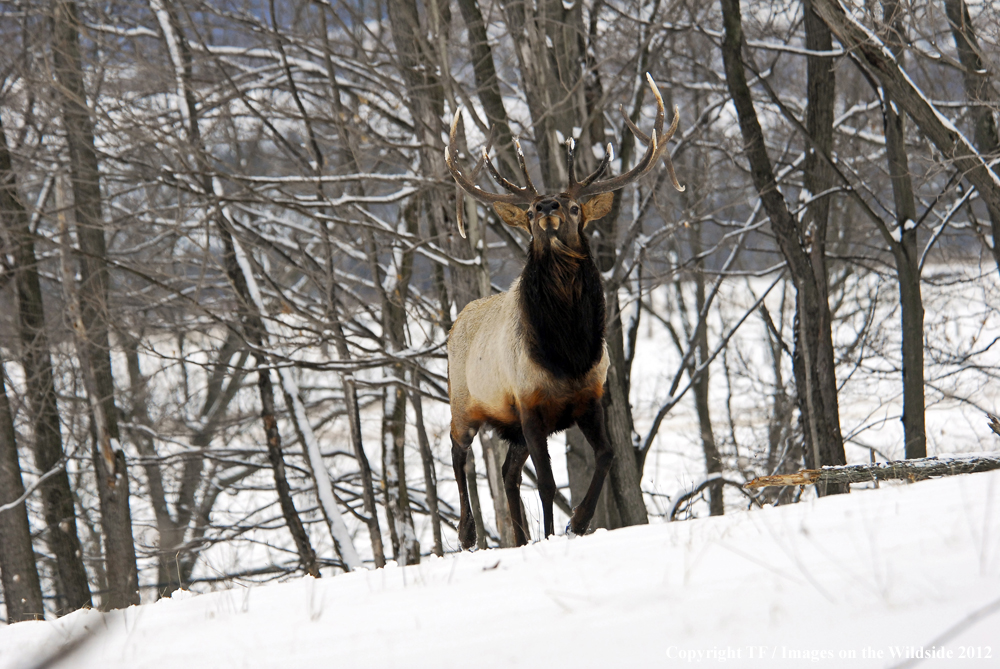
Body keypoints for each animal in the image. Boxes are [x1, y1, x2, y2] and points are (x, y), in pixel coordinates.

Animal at [450, 74, 684, 548]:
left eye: (575, 206)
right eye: (528, 212)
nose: (545, 206)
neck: (569, 354)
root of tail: (452, 326)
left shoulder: (590, 398)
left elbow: (608, 454)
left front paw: (578, 521)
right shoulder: (529, 404)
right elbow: (547, 482)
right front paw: (557, 531)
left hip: (511, 427)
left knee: (507, 472)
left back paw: (520, 536)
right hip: (464, 404)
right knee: (458, 454)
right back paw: (467, 532)